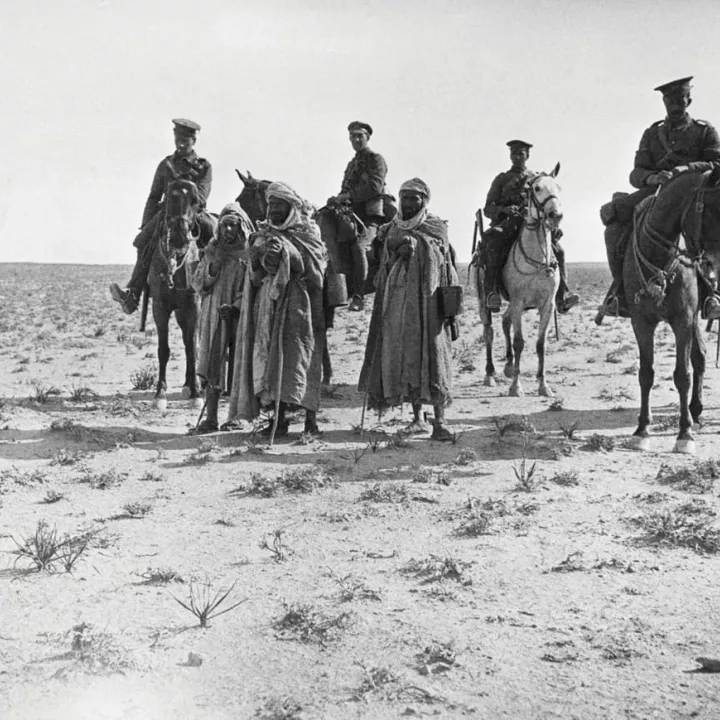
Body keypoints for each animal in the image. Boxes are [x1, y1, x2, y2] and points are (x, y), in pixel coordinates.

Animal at [146, 176, 214, 410]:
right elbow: (163, 350)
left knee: (191, 342)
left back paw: (195, 385)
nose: (178, 235)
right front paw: (160, 394)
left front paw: (196, 394)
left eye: (195, 200)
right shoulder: (160, 307)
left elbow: (193, 348)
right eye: (169, 197)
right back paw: (186, 384)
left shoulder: (193, 306)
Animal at [476, 164, 564, 396]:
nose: (555, 215)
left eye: (559, 187)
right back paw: (490, 374)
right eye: (537, 188)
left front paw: (543, 385)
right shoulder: (518, 302)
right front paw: (516, 386)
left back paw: (507, 366)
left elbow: (541, 344)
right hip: (484, 301)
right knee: (489, 332)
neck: (536, 259)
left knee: (505, 322)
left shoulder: (547, 305)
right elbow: (519, 343)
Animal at [624, 166, 720, 452]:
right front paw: (642, 430)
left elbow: (682, 375)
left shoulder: (682, 320)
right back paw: (696, 411)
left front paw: (684, 433)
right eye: (714, 207)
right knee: (700, 356)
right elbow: (646, 373)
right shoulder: (641, 322)